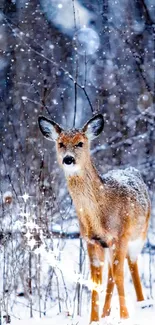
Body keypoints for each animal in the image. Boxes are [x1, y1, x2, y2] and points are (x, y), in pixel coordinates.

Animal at [38, 113, 151, 322]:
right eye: (60, 143)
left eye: (80, 143)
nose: (68, 159)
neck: (100, 216)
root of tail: (132, 170)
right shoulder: (91, 240)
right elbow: (95, 280)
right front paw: (94, 320)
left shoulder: (121, 235)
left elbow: (120, 275)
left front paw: (124, 317)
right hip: (110, 246)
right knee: (111, 274)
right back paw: (106, 313)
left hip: (140, 235)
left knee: (131, 265)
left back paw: (141, 302)